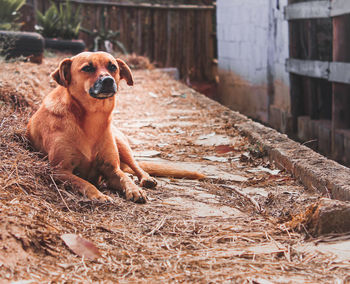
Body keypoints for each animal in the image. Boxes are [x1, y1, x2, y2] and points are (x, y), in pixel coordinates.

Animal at [26, 50, 205, 202]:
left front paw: (134, 189)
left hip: (121, 144)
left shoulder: (112, 169)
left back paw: (145, 178)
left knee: (135, 166)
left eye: (113, 67)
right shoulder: (59, 170)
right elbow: (83, 182)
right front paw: (98, 195)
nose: (108, 80)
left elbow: (123, 176)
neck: (92, 118)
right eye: (87, 68)